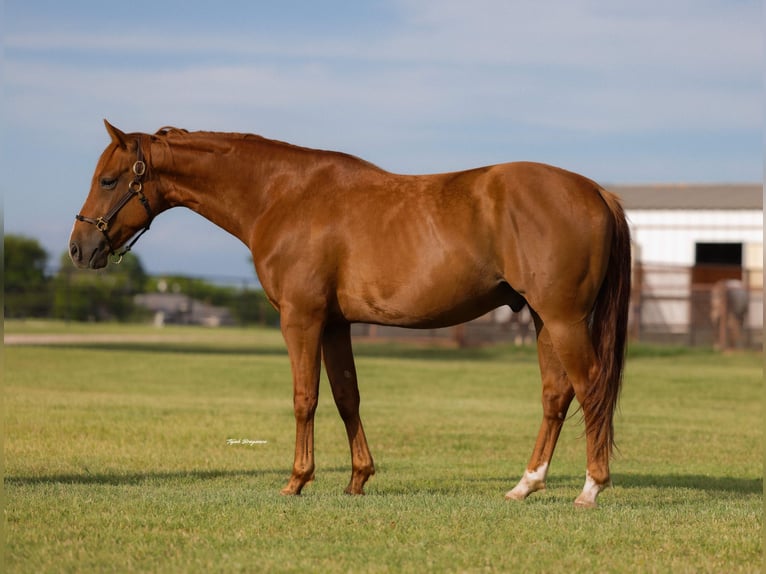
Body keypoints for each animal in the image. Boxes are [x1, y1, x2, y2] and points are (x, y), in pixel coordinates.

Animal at [70, 120, 631, 507]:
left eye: (109, 179)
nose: (79, 249)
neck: (283, 196)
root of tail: (596, 191)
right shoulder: (335, 323)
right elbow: (346, 397)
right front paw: (358, 479)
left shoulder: (301, 318)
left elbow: (305, 398)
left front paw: (296, 480)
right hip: (542, 319)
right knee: (556, 395)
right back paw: (525, 485)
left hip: (564, 319)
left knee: (591, 387)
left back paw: (590, 489)